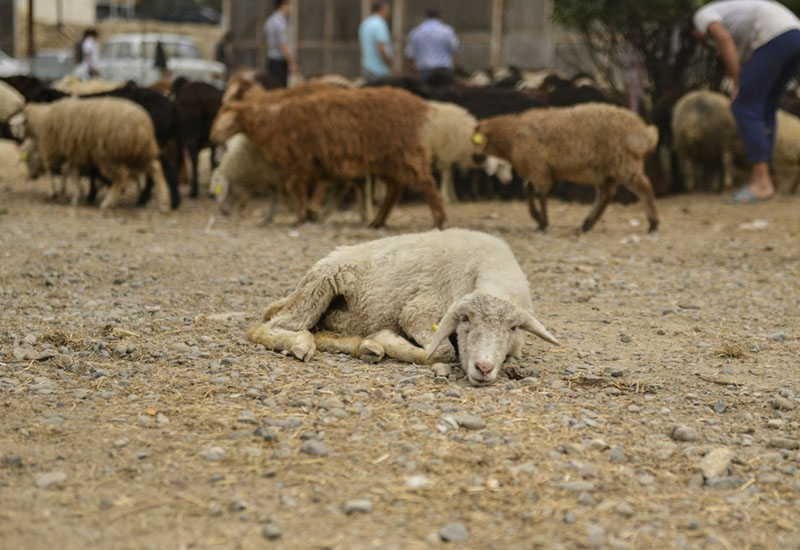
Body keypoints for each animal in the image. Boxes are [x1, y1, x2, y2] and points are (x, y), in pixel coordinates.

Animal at [21, 97, 171, 211]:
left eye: (28, 159)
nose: (30, 177)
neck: (42, 119)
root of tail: (142, 127)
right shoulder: (75, 153)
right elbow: (72, 172)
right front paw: (75, 195)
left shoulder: (54, 149)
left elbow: (52, 170)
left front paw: (53, 191)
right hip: (139, 153)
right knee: (155, 167)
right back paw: (164, 202)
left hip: (110, 155)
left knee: (122, 176)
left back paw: (108, 202)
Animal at [209, 87, 446, 230]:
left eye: (224, 118)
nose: (212, 138)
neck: (275, 119)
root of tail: (420, 106)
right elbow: (296, 188)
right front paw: (304, 215)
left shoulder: (300, 159)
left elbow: (296, 187)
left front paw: (301, 217)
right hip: (387, 160)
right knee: (394, 189)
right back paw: (377, 221)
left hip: (404, 152)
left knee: (426, 182)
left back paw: (438, 219)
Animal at [247, 229, 560, 388]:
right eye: (465, 321)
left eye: (512, 328)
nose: (483, 367)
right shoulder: (418, 311)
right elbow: (443, 350)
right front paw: (389, 339)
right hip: (319, 287)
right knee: (265, 327)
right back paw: (299, 343)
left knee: (322, 331)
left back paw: (364, 346)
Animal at [472, 103, 660, 233]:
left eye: (475, 141)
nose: (474, 158)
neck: (513, 136)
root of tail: (645, 132)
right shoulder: (541, 170)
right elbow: (527, 189)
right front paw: (537, 218)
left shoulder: (539, 169)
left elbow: (540, 194)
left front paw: (543, 223)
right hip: (604, 170)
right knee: (606, 195)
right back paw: (587, 224)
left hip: (623, 163)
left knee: (644, 188)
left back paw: (653, 224)